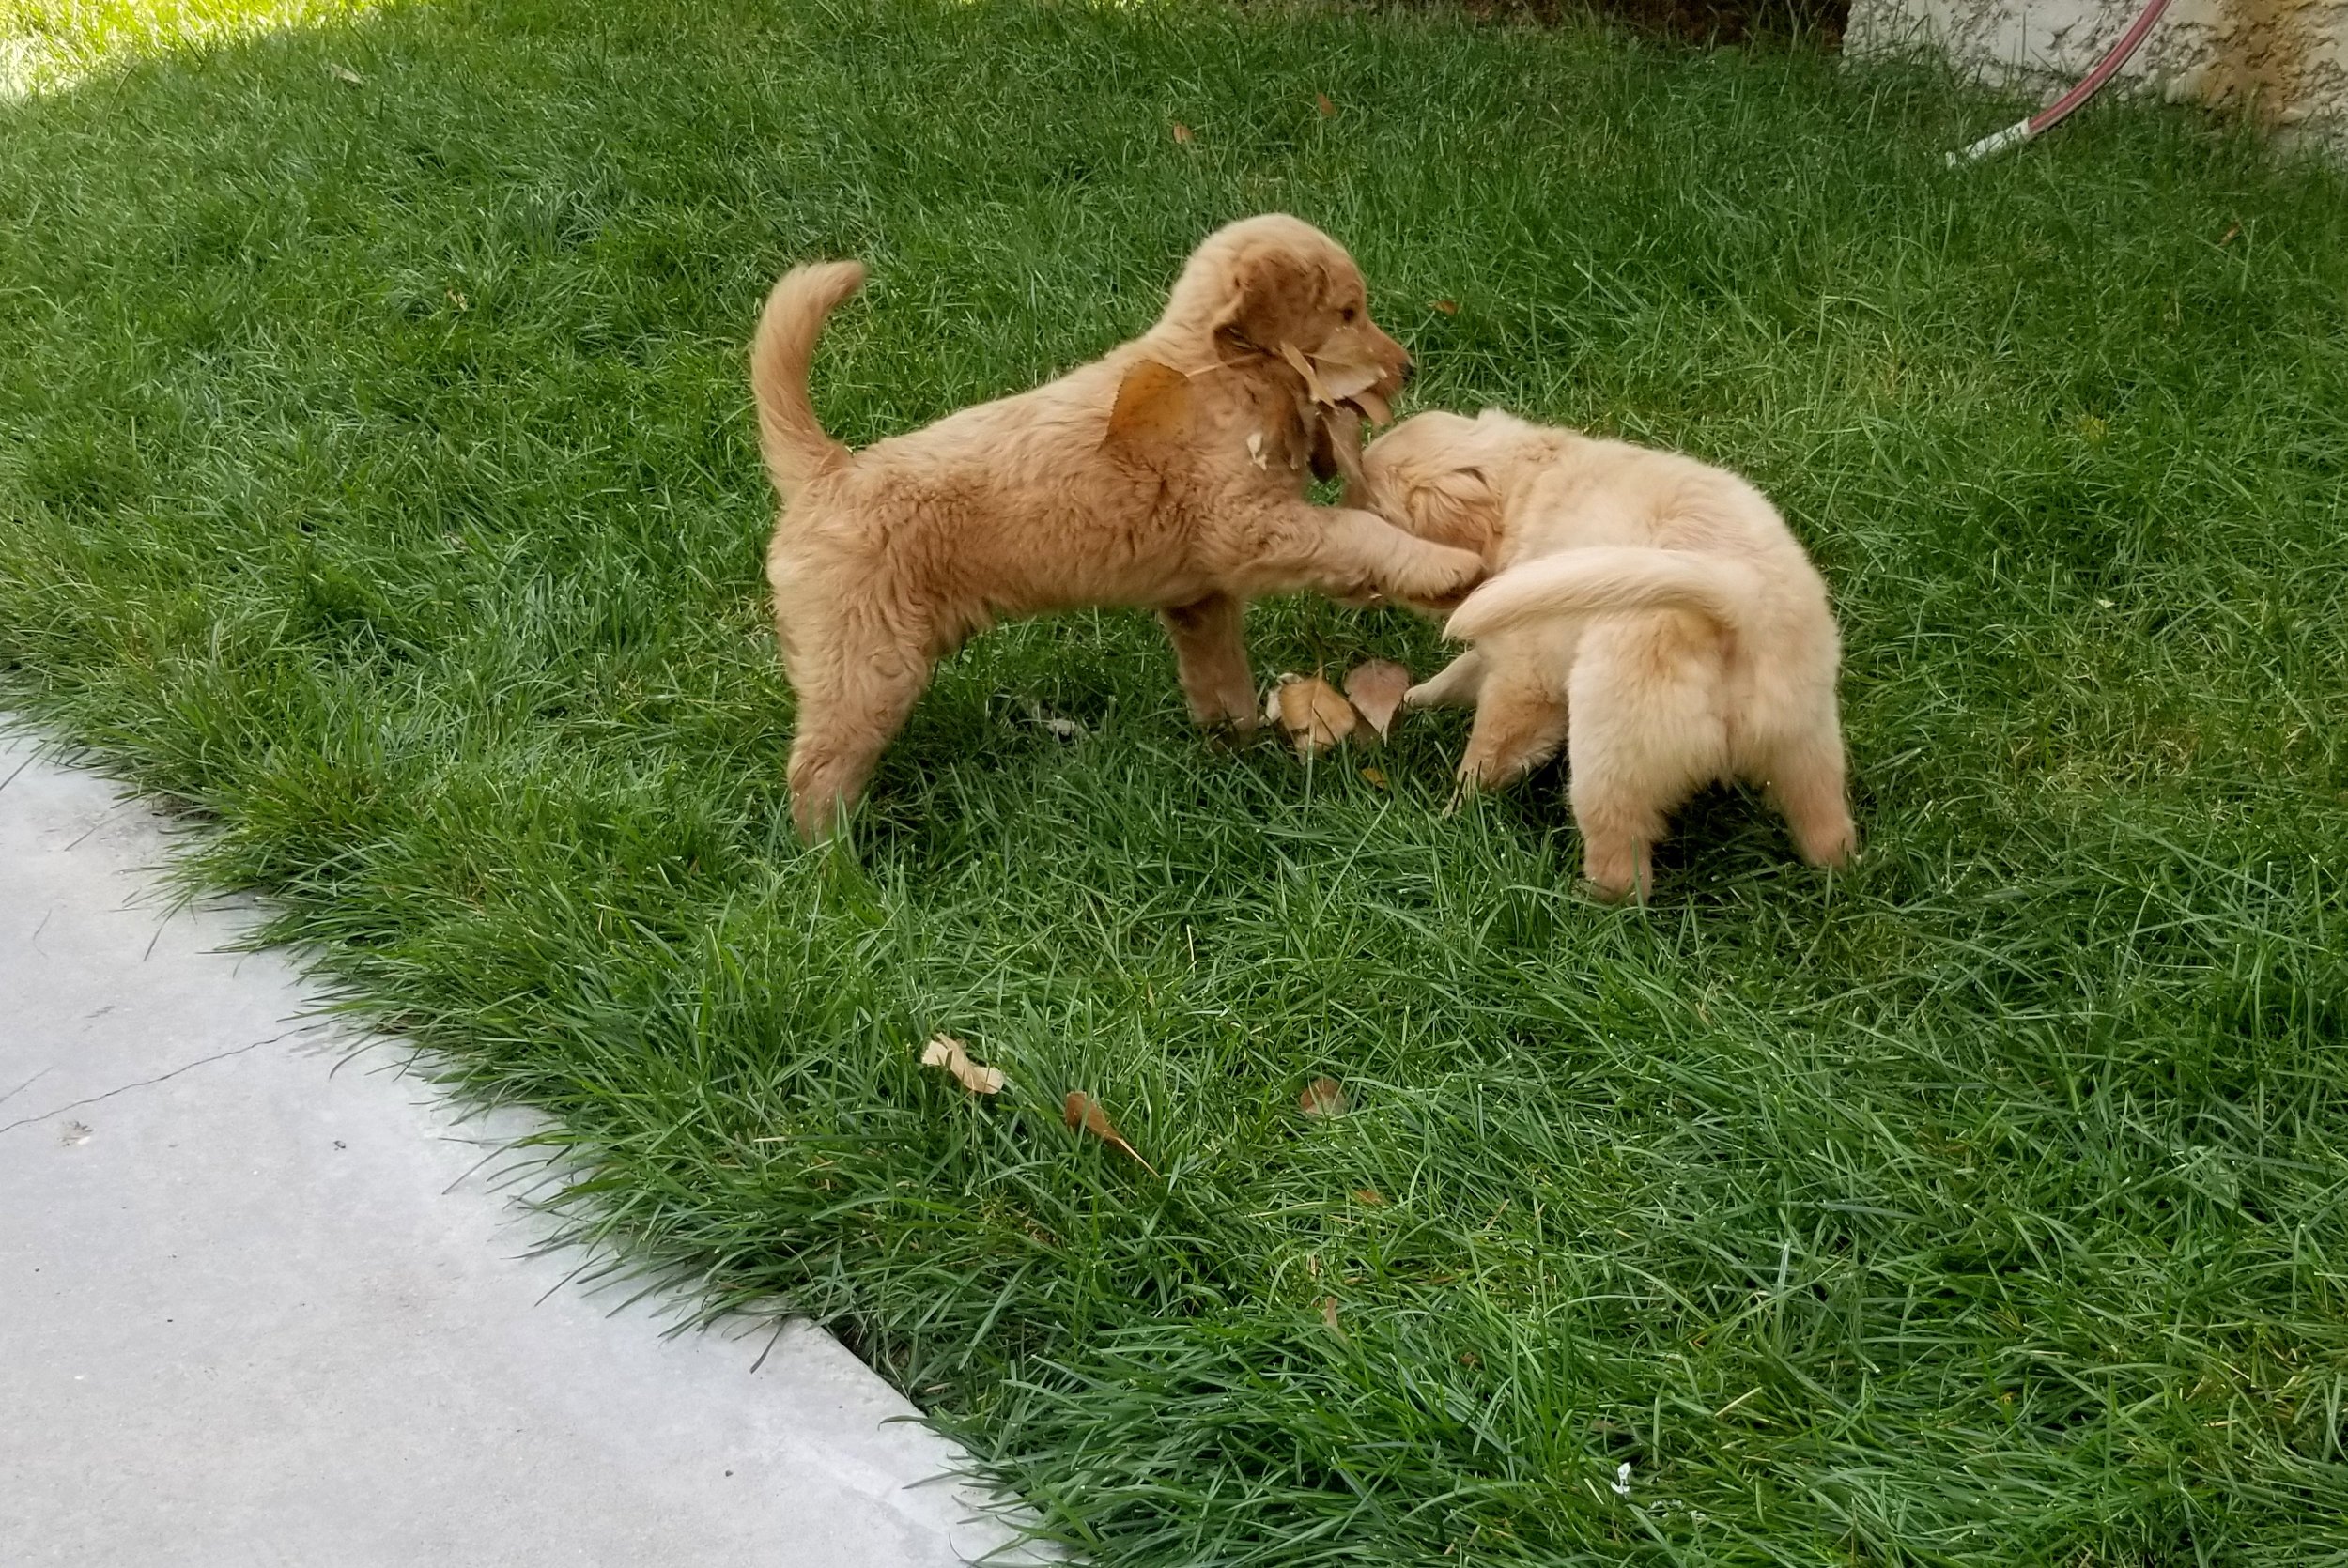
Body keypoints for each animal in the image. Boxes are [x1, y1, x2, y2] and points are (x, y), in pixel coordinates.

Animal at [751, 217, 1484, 845]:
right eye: (1348, 313)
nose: (1409, 368)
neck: (1223, 371)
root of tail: (828, 473)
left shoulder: (1200, 597)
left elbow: (1221, 679)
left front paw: (1234, 750)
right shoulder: (1250, 527)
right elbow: (1357, 531)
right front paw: (1447, 567)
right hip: (866, 665)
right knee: (816, 773)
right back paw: (839, 870)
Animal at [1362, 410, 1850, 901]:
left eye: (1376, 513)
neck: (1524, 486)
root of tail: (1734, 605)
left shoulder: (1525, 674)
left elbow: (1486, 751)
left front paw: (1451, 814)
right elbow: (1458, 674)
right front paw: (1408, 699)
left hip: (1608, 753)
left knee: (1622, 865)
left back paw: (1576, 898)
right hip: (1804, 740)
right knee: (1827, 823)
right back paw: (1838, 873)